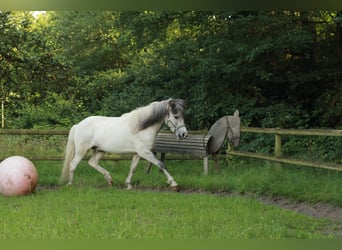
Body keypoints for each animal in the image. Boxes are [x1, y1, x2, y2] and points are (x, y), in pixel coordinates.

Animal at [58, 97, 187, 189]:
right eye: (176, 116)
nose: (184, 134)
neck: (141, 128)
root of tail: (78, 125)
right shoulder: (145, 152)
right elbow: (161, 164)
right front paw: (174, 184)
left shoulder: (138, 153)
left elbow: (133, 168)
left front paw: (128, 185)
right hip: (81, 151)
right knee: (73, 164)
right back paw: (70, 184)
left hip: (100, 150)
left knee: (92, 162)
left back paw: (109, 180)